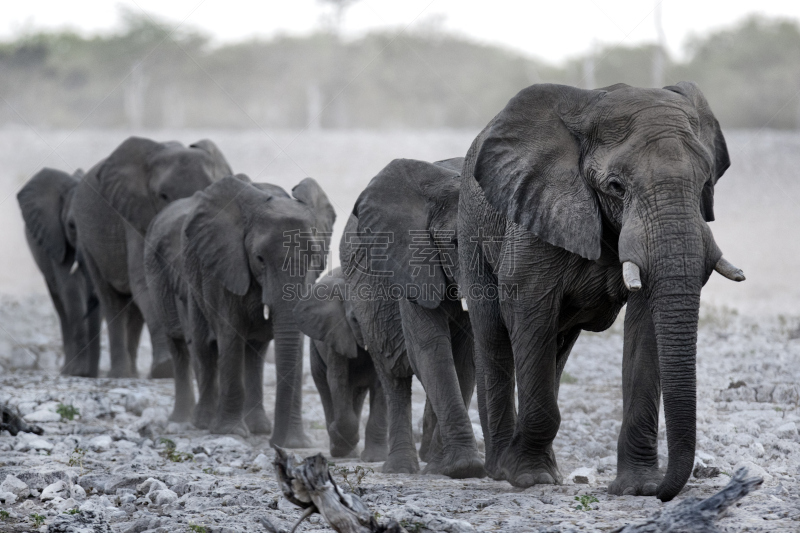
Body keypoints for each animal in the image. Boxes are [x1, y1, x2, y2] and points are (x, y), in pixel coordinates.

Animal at [17, 168, 101, 376]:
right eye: (71, 226)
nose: (90, 373)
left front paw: (88, 374)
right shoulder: (54, 237)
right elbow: (70, 288)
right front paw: (79, 373)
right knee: (61, 305)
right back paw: (67, 370)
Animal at [71, 137, 231, 378]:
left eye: (209, 189)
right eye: (163, 196)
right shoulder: (134, 214)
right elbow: (146, 282)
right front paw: (165, 369)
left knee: (133, 309)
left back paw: (133, 373)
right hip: (88, 240)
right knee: (111, 300)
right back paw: (121, 374)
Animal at [296, 266, 390, 462]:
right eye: (354, 319)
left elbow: (382, 385)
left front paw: (375, 459)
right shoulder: (336, 331)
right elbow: (338, 380)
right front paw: (339, 440)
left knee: (357, 393)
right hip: (315, 349)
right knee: (325, 387)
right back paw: (342, 450)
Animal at [460, 81, 748, 500]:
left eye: (705, 182)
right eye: (616, 187)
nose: (666, 493)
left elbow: (646, 327)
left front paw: (639, 487)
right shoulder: (536, 210)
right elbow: (526, 304)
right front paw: (529, 478)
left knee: (556, 347)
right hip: (471, 230)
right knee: (494, 335)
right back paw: (502, 470)